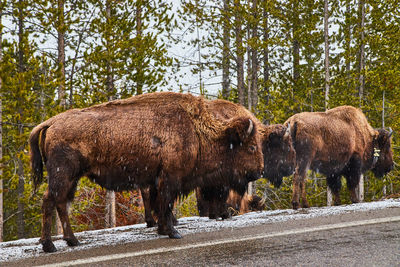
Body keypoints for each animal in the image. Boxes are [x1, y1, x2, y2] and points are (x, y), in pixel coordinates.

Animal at [29, 92, 264, 253]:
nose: (259, 171)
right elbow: (165, 204)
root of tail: (51, 122)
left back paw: (73, 241)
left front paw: (162, 229)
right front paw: (173, 232)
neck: (196, 130)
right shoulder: (170, 179)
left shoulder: (158, 180)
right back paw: (49, 245)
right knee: (49, 201)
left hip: (72, 178)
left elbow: (160, 203)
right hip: (63, 175)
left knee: (61, 203)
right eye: (252, 147)